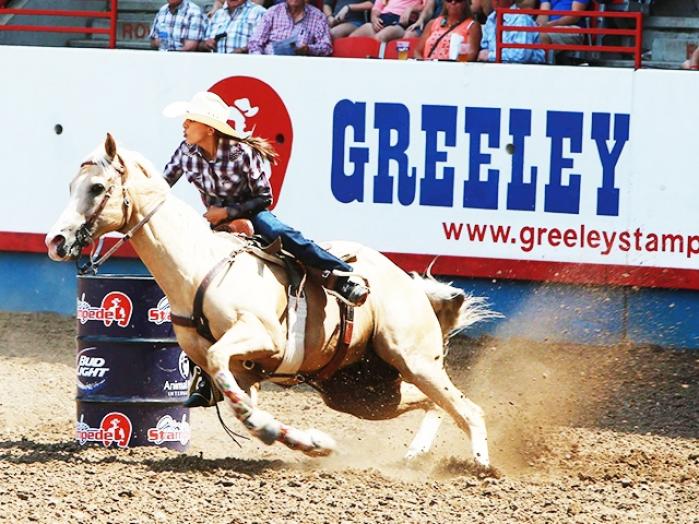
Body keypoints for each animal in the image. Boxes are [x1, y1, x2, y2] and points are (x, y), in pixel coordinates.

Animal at [45, 134, 492, 466]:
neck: (198, 266)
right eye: (69, 187)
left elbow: (229, 380)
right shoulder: (240, 369)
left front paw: (283, 435)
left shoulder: (262, 338)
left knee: (467, 408)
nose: (56, 241)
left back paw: (482, 467)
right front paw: (307, 442)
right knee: (433, 404)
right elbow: (239, 403)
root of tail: (411, 288)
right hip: (362, 391)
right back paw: (417, 453)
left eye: (97, 188)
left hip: (412, 358)